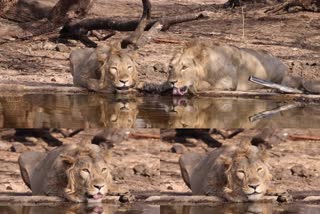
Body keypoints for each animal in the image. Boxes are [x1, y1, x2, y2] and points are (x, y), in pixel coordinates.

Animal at [169, 41, 318, 95]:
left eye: (184, 67)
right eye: (171, 67)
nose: (172, 82)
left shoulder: (228, 82)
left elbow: (203, 85)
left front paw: (193, 87)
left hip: (282, 75)